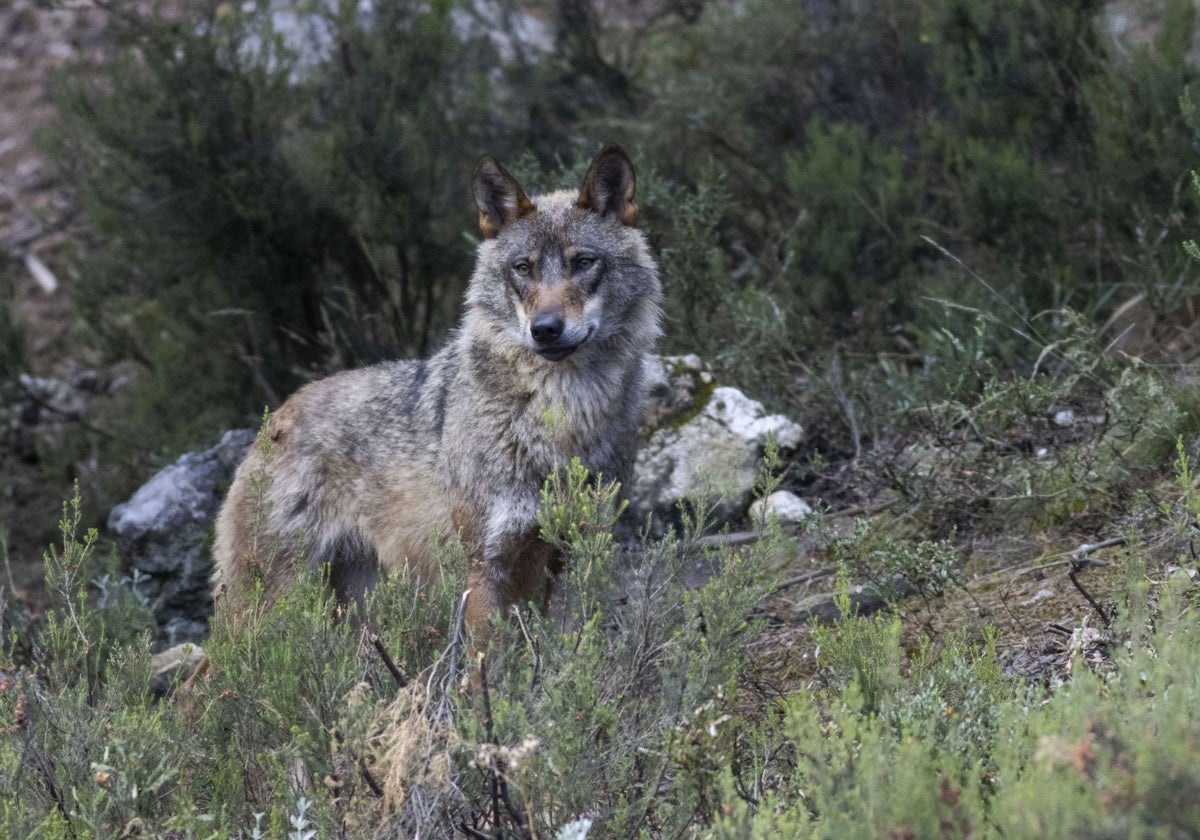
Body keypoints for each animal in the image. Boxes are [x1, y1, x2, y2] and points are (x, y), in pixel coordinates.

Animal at [213, 144, 667, 638]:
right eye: (522, 268)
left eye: (583, 262)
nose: (545, 329)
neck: (560, 419)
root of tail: (271, 421)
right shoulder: (483, 566)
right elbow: (489, 655)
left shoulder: (570, 556)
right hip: (271, 608)